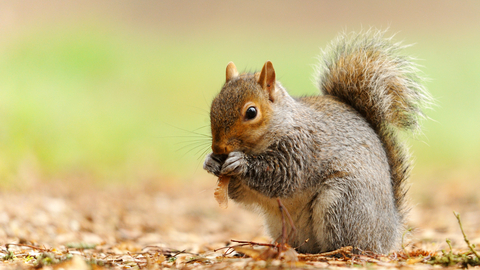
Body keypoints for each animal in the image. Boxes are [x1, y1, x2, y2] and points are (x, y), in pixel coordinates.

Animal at [202, 30, 432, 254]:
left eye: (251, 112)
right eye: (213, 106)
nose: (218, 148)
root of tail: (390, 232)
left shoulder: (302, 149)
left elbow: (281, 176)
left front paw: (240, 163)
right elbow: (240, 194)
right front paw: (211, 162)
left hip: (344, 202)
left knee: (350, 243)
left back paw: (336, 252)